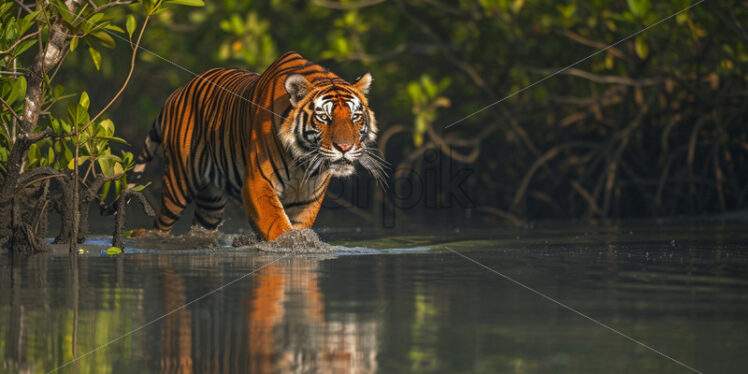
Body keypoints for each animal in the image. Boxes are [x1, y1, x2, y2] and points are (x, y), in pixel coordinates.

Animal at [129, 51, 386, 241]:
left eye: (355, 117)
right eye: (324, 117)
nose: (344, 147)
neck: (301, 161)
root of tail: (176, 92)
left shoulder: (308, 196)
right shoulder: (258, 182)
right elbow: (278, 228)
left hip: (210, 200)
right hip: (178, 183)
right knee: (160, 224)